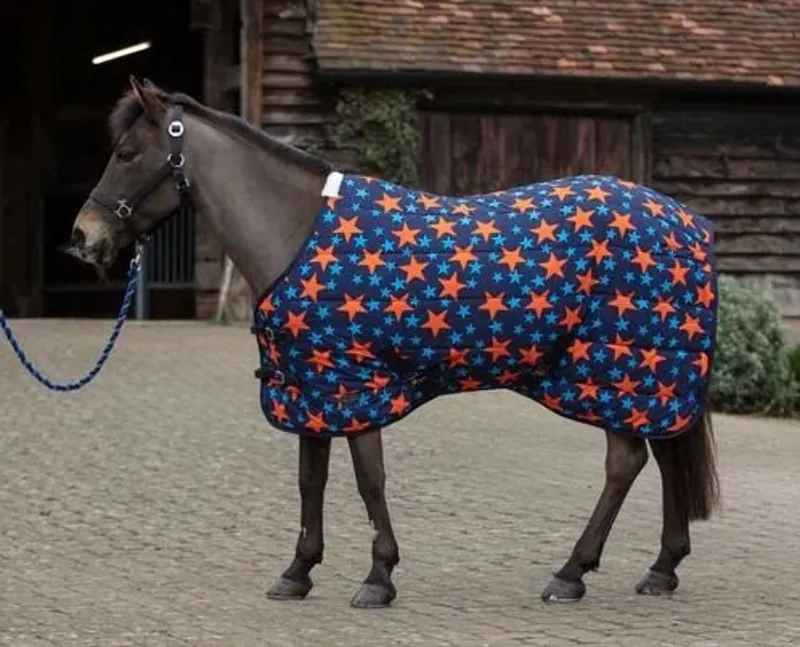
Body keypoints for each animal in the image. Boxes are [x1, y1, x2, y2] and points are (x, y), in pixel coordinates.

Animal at [68, 76, 719, 608]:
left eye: (127, 153)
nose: (83, 237)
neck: (298, 232)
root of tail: (687, 220)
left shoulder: (358, 383)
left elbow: (368, 479)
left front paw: (378, 576)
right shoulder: (313, 385)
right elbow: (311, 479)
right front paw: (298, 571)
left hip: (618, 370)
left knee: (625, 462)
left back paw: (571, 573)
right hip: (646, 375)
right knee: (663, 456)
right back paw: (661, 567)